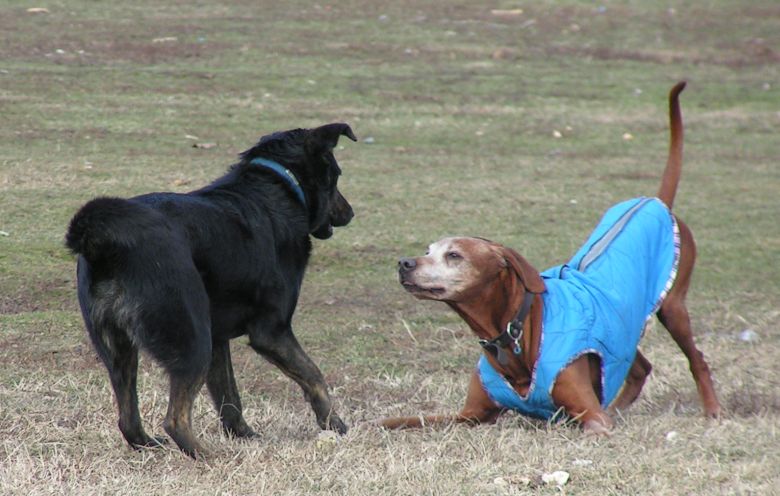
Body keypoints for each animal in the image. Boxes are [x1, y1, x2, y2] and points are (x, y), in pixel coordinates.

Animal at [66, 123, 356, 458]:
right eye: (337, 175)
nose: (350, 213)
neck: (280, 185)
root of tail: (104, 241)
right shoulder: (272, 332)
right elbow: (314, 376)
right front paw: (334, 424)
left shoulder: (218, 338)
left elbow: (228, 394)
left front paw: (243, 434)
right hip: (191, 340)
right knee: (175, 419)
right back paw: (206, 455)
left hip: (120, 349)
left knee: (127, 417)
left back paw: (149, 444)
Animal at [382, 82, 722, 434]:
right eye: (427, 251)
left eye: (454, 255)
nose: (404, 263)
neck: (512, 330)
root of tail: (657, 203)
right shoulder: (469, 414)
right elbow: (405, 419)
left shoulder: (592, 417)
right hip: (621, 330)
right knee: (640, 367)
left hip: (673, 309)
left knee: (697, 360)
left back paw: (712, 411)